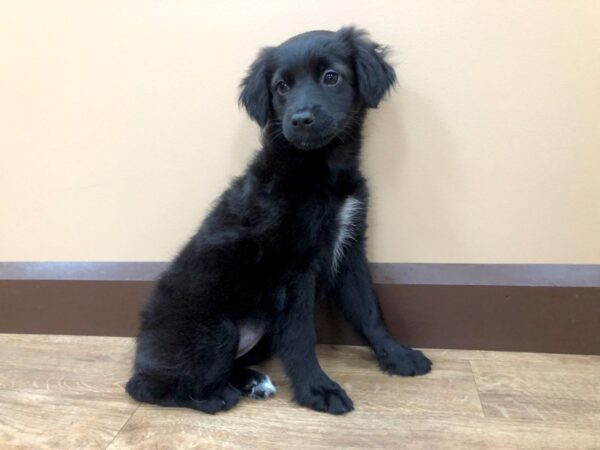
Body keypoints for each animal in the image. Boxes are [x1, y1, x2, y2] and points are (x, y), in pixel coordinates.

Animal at [125, 27, 432, 414]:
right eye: (281, 87)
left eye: (331, 77)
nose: (300, 119)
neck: (318, 169)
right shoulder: (292, 270)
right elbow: (301, 336)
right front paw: (318, 389)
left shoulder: (349, 250)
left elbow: (369, 310)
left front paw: (397, 356)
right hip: (217, 330)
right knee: (146, 386)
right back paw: (216, 396)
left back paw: (251, 381)